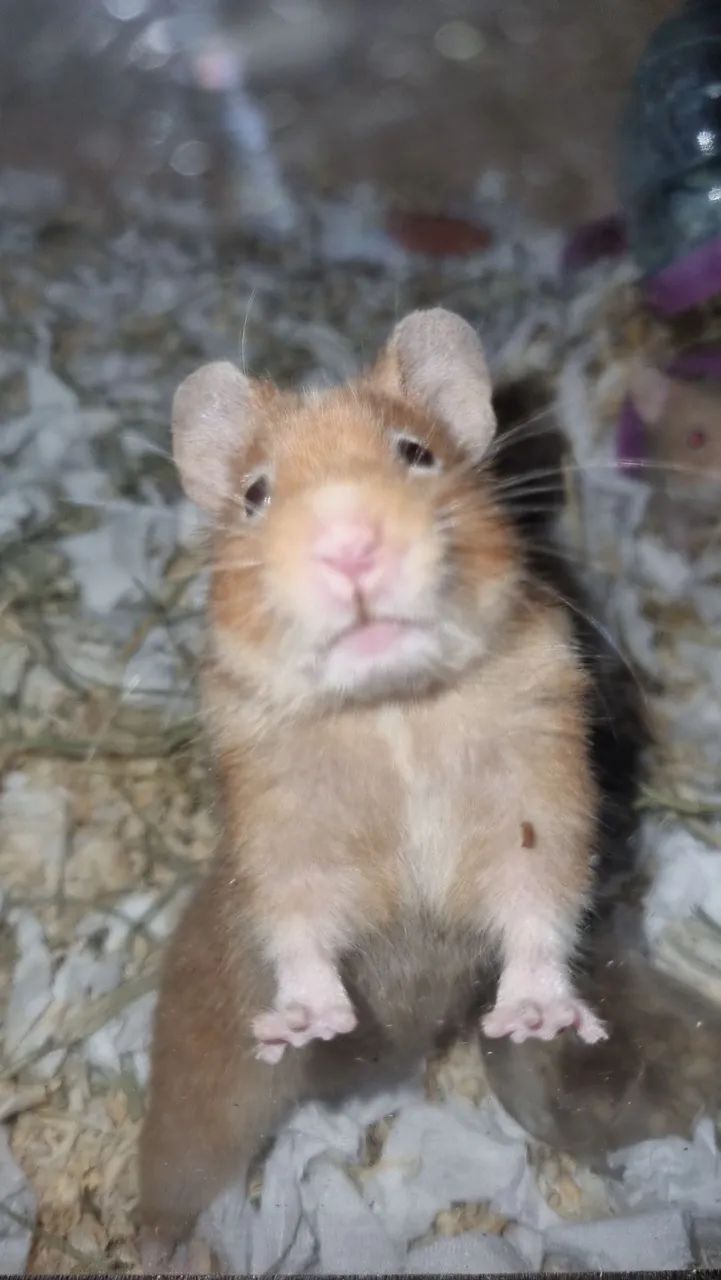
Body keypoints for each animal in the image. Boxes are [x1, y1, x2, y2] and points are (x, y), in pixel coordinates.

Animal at [139, 308, 606, 1263]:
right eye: (256, 495)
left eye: (415, 454)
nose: (349, 546)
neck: (395, 713)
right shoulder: (281, 833)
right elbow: (300, 922)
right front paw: (306, 1023)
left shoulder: (542, 793)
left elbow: (538, 903)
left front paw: (536, 1020)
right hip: (201, 1101)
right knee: (173, 1170)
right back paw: (151, 1246)